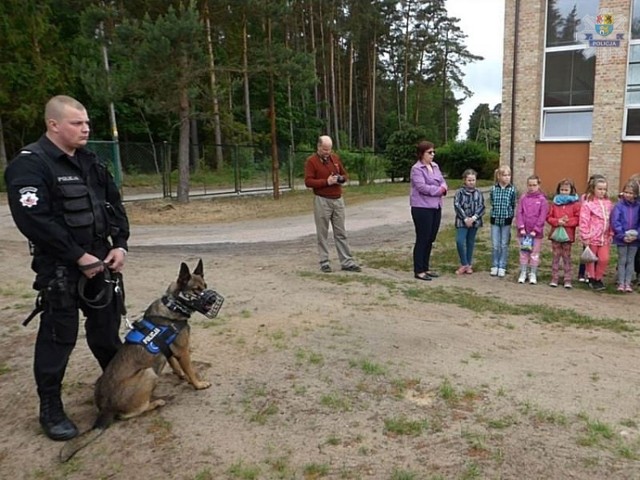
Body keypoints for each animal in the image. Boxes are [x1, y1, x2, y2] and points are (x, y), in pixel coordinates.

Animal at [60, 258, 224, 462]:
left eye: (205, 286)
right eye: (196, 290)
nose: (212, 299)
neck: (172, 306)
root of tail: (105, 410)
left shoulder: (169, 352)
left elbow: (176, 366)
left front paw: (181, 376)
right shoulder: (183, 351)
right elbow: (191, 370)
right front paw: (198, 384)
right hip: (149, 374)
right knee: (129, 414)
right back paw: (156, 402)